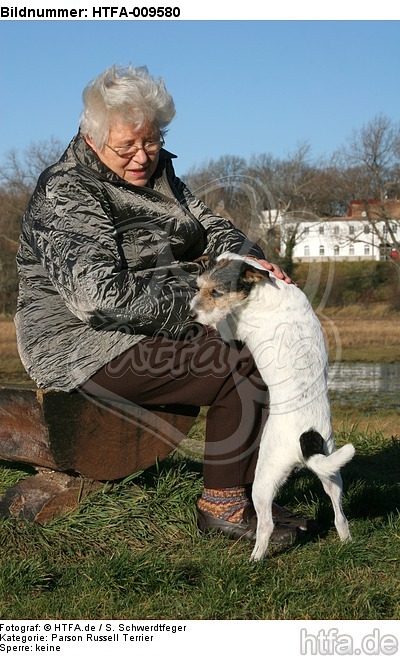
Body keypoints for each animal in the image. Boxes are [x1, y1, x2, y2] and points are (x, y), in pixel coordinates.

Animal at [190, 254, 354, 560]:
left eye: (216, 292)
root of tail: (307, 438)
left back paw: (255, 558)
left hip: (264, 478)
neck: (263, 289)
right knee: (340, 514)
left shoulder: (231, 328)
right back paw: (346, 541)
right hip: (331, 471)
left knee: (265, 524)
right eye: (198, 286)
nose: (191, 314)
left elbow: (222, 324)